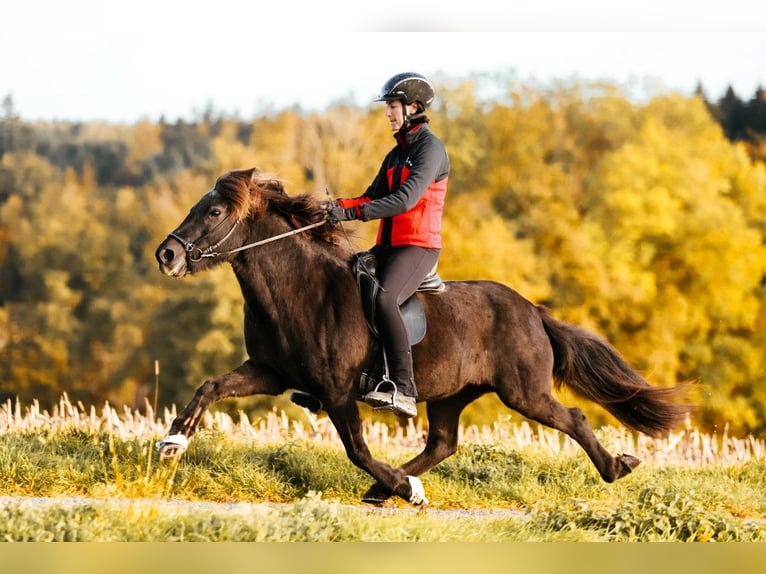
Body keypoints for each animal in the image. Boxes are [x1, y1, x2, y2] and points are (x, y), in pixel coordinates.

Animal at [153, 168, 692, 508]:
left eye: (215, 211)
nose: (167, 255)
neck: (301, 288)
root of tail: (533, 312)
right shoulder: (270, 372)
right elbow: (210, 387)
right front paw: (173, 441)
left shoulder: (337, 391)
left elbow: (357, 450)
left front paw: (406, 490)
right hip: (453, 395)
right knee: (444, 443)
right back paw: (391, 488)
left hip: (524, 392)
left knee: (573, 418)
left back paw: (616, 467)